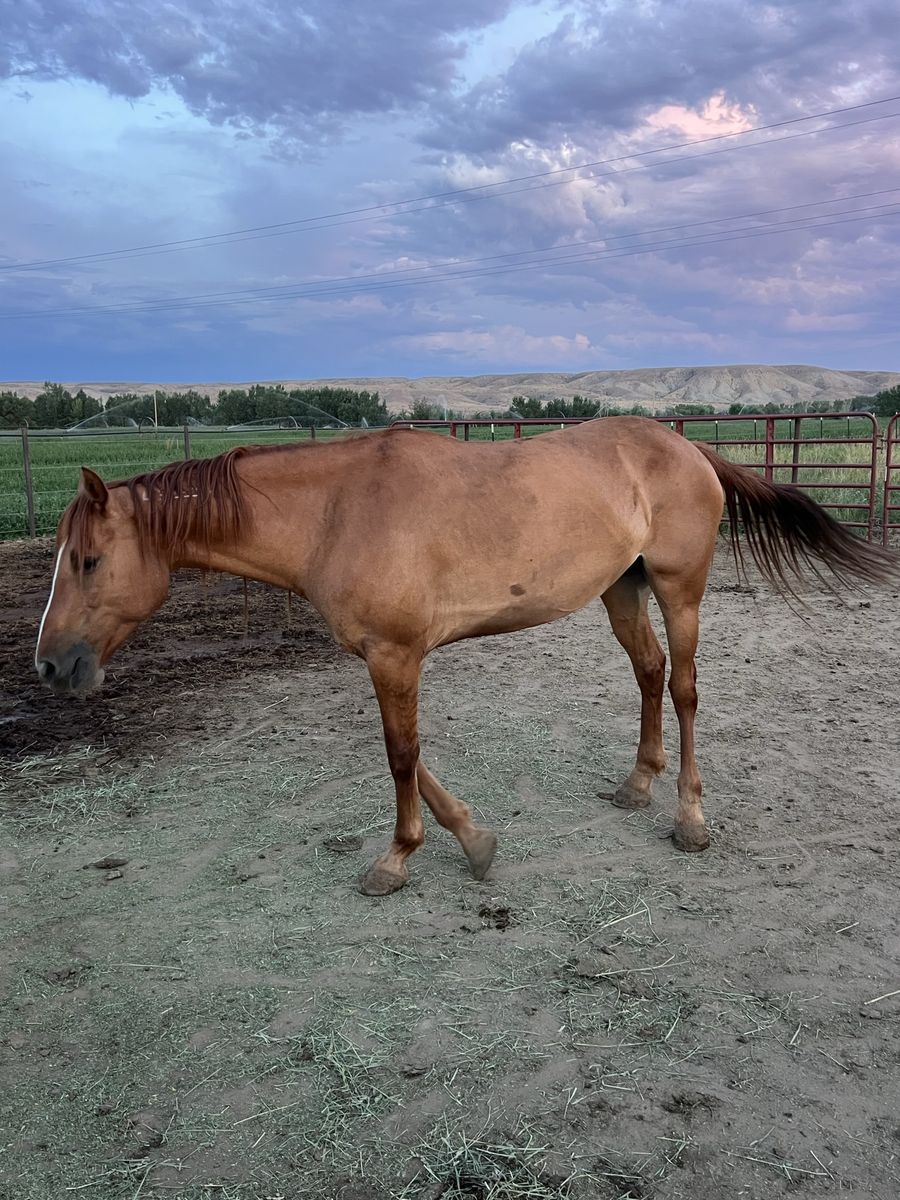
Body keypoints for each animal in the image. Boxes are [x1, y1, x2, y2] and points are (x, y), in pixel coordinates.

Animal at [34, 418, 897, 895]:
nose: (48, 665)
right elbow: (412, 755)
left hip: (680, 591)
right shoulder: (384, 656)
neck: (334, 511)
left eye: (87, 561)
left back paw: (689, 815)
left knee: (684, 689)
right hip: (623, 590)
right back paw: (637, 784)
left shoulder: (394, 656)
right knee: (650, 675)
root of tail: (687, 448)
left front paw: (397, 859)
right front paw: (474, 840)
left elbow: (399, 755)